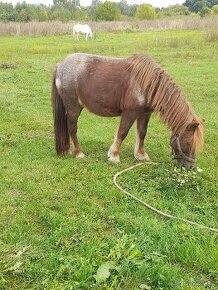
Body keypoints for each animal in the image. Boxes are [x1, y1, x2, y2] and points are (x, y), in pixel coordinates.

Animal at [51, 53, 204, 170]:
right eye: (189, 143)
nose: (190, 167)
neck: (147, 83)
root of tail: (60, 65)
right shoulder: (130, 113)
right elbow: (122, 133)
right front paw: (114, 156)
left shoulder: (144, 113)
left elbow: (142, 133)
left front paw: (141, 155)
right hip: (73, 108)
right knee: (72, 129)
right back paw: (78, 153)